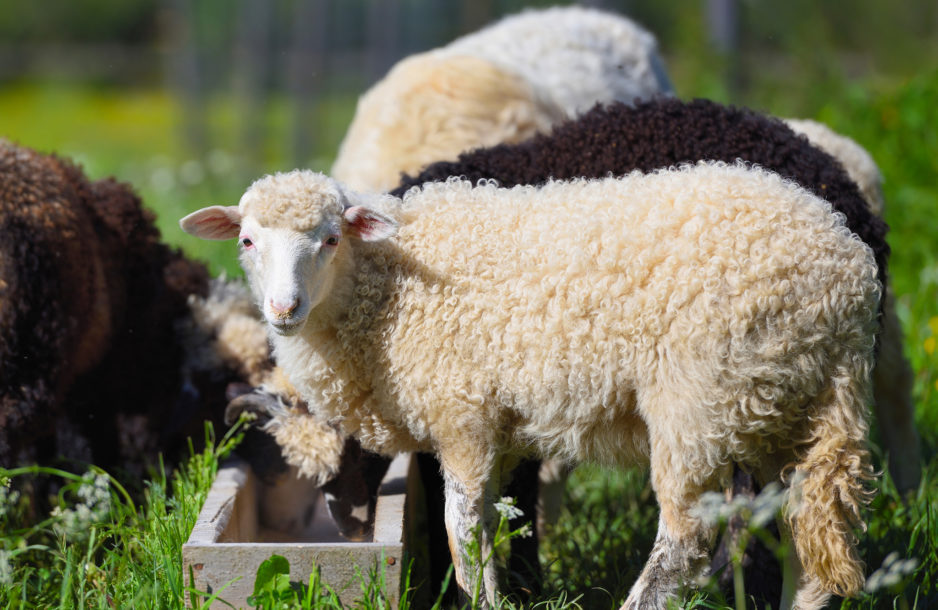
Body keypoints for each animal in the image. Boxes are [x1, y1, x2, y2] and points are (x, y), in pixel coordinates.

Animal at [181, 162, 881, 609]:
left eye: (329, 239)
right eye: (247, 240)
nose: (283, 309)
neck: (384, 294)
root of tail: (848, 279)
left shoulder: (461, 413)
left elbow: (464, 527)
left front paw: (485, 600)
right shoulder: (492, 426)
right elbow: (491, 522)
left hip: (700, 400)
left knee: (685, 540)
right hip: (779, 402)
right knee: (806, 532)